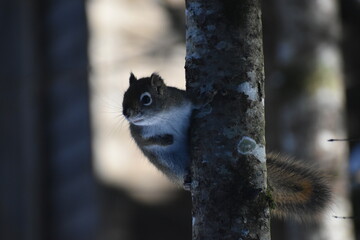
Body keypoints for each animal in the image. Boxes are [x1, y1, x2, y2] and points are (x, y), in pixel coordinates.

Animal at [122, 72, 330, 221]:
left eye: (146, 98)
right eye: (124, 96)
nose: (127, 113)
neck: (161, 117)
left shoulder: (184, 101)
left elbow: (199, 103)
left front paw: (208, 98)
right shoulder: (138, 133)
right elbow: (150, 142)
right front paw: (167, 139)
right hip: (173, 169)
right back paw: (187, 181)